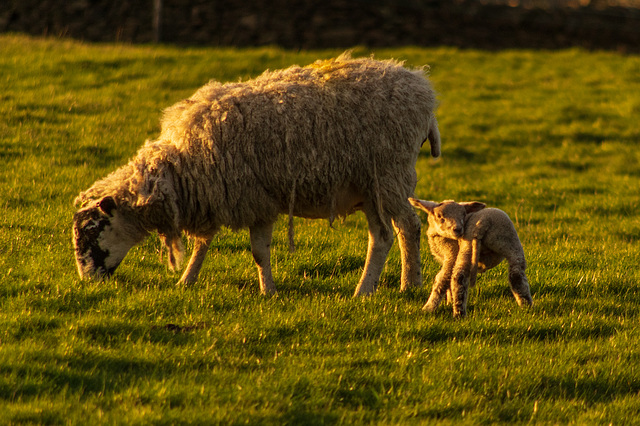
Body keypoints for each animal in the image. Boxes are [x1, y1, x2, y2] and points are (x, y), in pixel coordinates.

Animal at [70, 53, 440, 296]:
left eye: (92, 230)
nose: (87, 282)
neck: (179, 170)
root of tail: (422, 87)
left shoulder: (257, 199)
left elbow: (259, 252)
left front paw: (268, 292)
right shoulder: (215, 195)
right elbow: (203, 243)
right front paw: (187, 279)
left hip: (389, 176)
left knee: (407, 227)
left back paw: (402, 285)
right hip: (370, 187)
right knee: (383, 236)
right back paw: (377, 287)